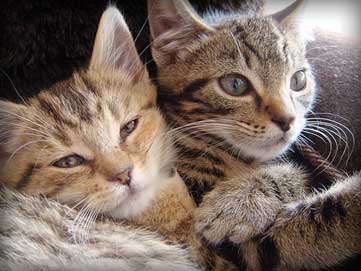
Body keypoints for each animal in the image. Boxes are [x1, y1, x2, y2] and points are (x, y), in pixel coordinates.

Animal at [148, 1, 360, 270]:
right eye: (235, 84)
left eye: (298, 80)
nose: (287, 119)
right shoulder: (227, 249)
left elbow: (297, 176)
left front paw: (241, 199)